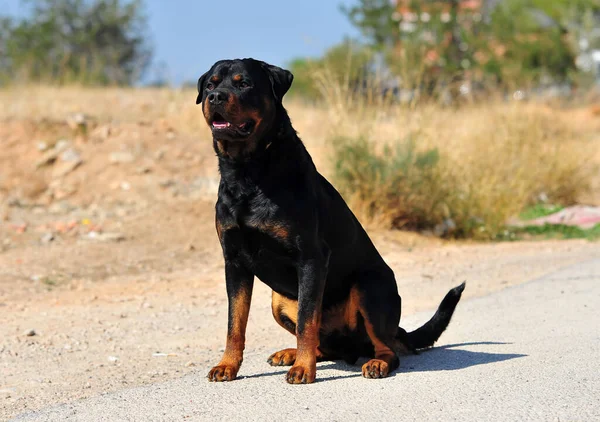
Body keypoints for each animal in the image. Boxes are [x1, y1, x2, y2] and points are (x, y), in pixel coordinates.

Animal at [197, 57, 464, 384]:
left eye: (244, 83)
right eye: (210, 84)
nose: (215, 97)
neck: (248, 171)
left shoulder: (311, 258)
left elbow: (306, 322)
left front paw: (303, 369)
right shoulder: (234, 261)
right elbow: (235, 324)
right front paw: (228, 365)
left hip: (369, 287)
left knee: (386, 347)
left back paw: (375, 363)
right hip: (278, 301)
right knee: (326, 345)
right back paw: (291, 354)